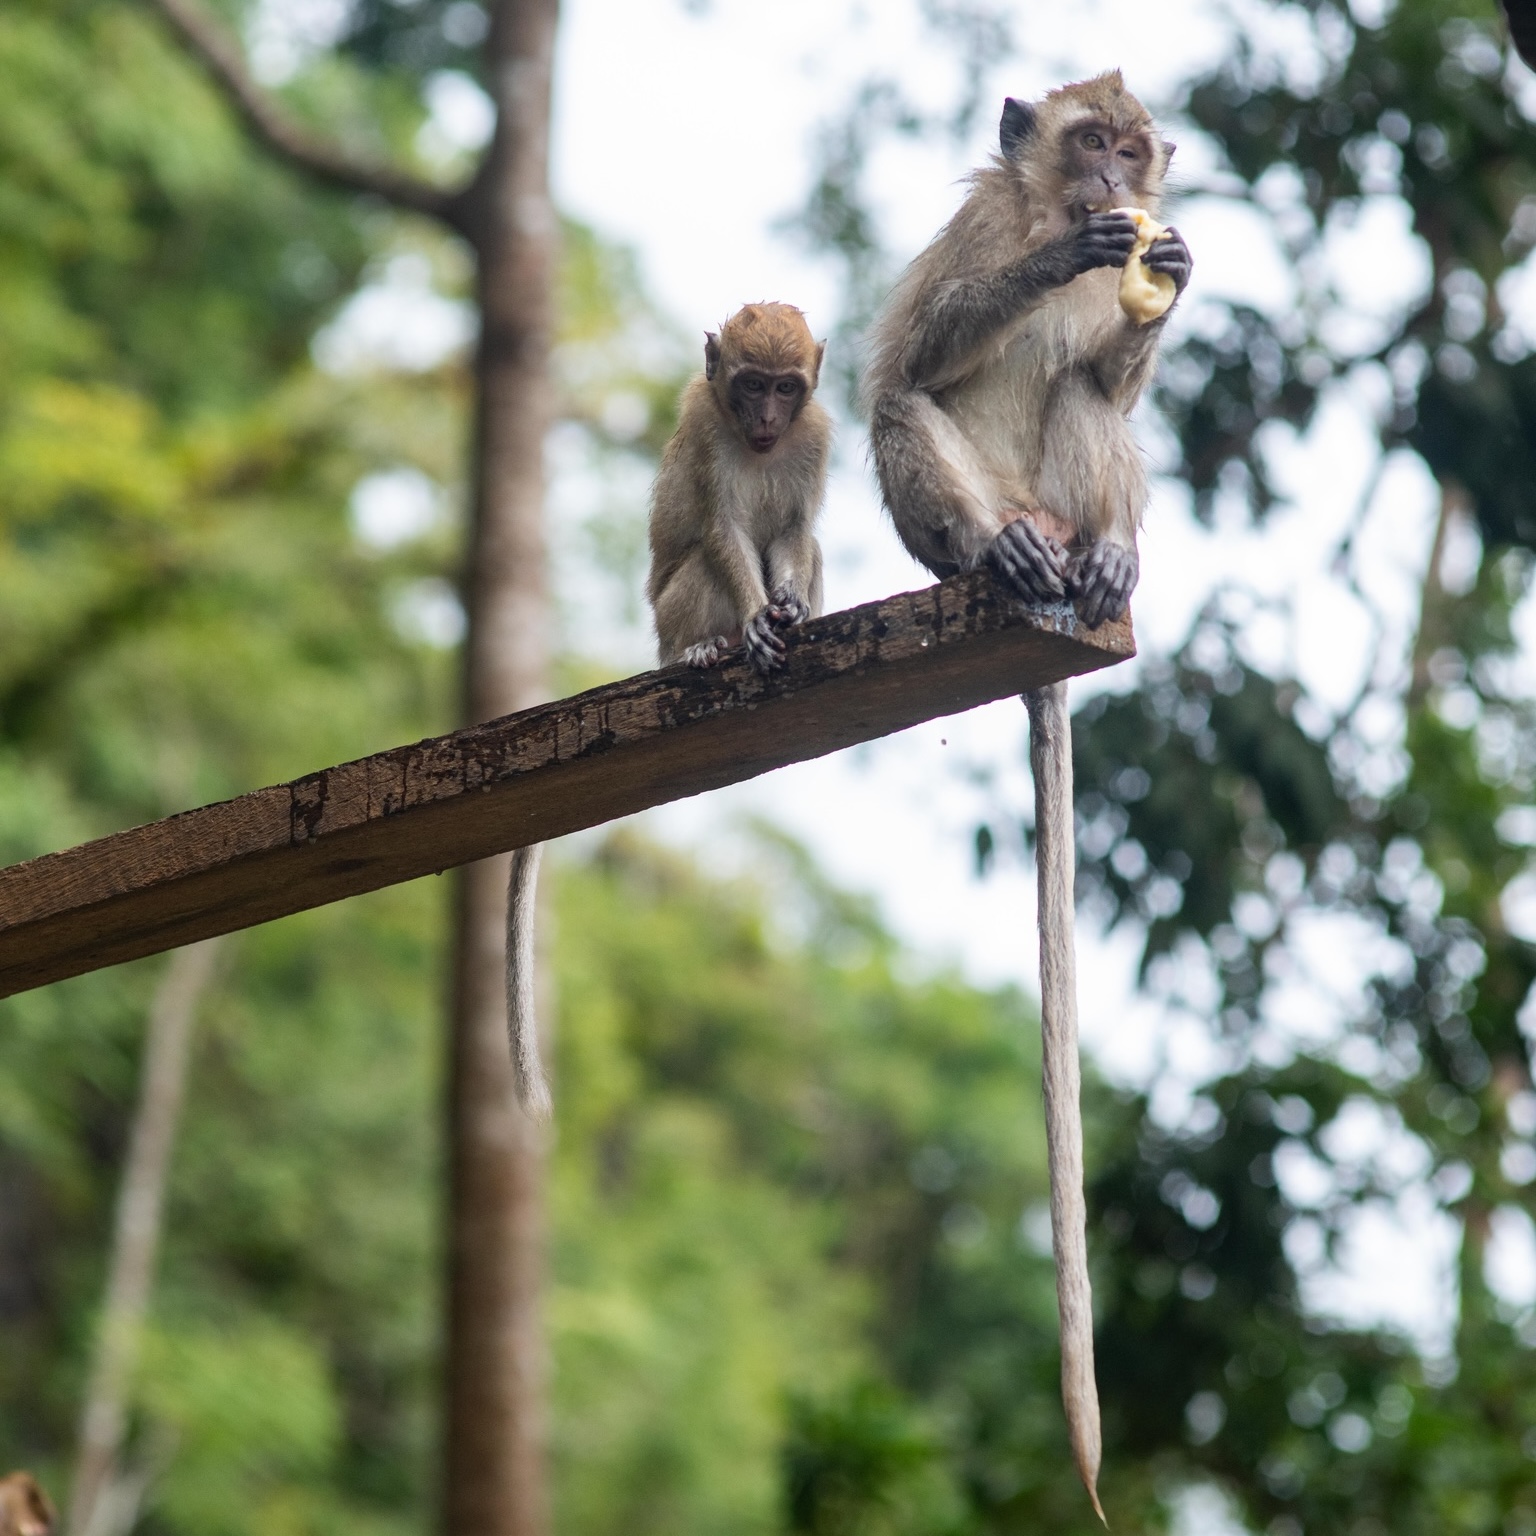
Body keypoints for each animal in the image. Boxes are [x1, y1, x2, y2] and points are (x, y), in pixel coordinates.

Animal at [646, 302, 831, 673]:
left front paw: (793, 601)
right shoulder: (704, 421)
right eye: (754, 384)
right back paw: (693, 649)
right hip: (667, 619)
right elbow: (723, 527)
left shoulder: (814, 433)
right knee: (705, 559)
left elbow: (794, 528)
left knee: (813, 548)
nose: (767, 418)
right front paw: (756, 616)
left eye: (785, 387)